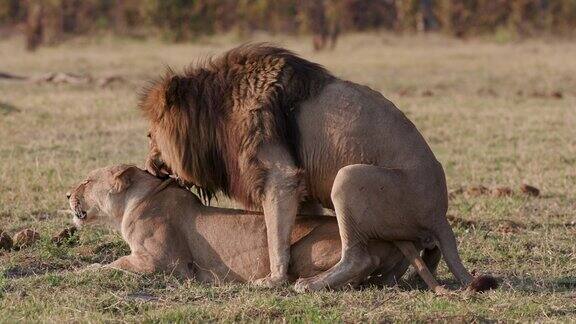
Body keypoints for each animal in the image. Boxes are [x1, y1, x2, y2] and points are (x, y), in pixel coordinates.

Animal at [68, 166, 454, 292]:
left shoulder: (164, 264)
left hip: (305, 248)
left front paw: (79, 272)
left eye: (86, 181)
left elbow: (108, 265)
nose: (67, 193)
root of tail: (394, 237)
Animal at [141, 44, 496, 290]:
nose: (149, 163)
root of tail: (440, 213)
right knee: (424, 253)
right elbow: (291, 229)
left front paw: (273, 280)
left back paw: (311, 285)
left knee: (358, 256)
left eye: (149, 134)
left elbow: (275, 237)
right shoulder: (301, 187)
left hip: (349, 178)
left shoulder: (280, 176)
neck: (218, 109)